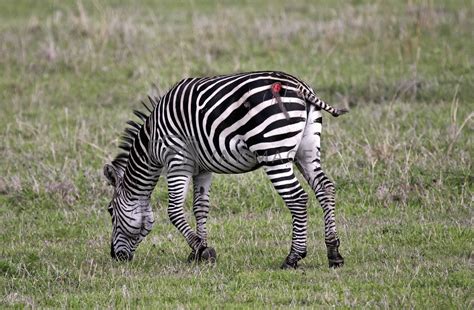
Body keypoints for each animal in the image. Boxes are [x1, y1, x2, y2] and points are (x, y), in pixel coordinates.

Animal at [103, 71, 346, 268]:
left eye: (110, 211)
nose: (115, 257)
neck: (152, 142)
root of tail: (299, 86)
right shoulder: (202, 169)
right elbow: (200, 208)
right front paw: (198, 251)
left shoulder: (177, 160)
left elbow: (174, 211)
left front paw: (202, 249)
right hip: (306, 149)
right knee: (325, 188)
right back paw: (334, 253)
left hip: (272, 151)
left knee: (297, 198)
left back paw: (293, 257)